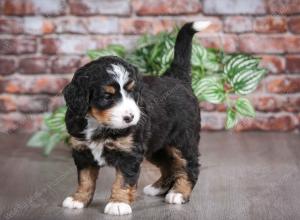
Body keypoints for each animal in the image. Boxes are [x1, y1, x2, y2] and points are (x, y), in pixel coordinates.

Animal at [62, 21, 210, 216]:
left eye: (132, 92)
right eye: (107, 96)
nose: (130, 117)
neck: (99, 124)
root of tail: (177, 79)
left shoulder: (129, 153)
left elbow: (123, 180)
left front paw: (118, 203)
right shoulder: (82, 151)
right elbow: (85, 179)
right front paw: (78, 199)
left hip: (183, 140)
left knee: (190, 165)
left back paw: (179, 193)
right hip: (157, 145)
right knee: (169, 164)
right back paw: (158, 187)